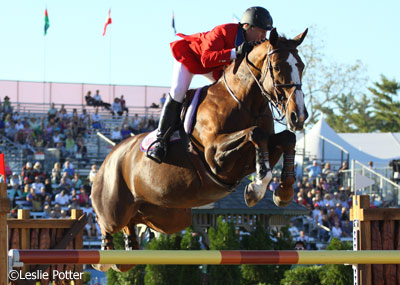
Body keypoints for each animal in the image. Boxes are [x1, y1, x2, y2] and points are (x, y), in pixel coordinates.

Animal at [91, 28, 310, 270]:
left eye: (301, 66)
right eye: (278, 67)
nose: (298, 116)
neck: (244, 102)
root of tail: (108, 159)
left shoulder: (261, 148)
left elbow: (287, 138)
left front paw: (283, 192)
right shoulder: (215, 156)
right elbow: (255, 134)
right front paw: (257, 188)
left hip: (169, 216)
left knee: (136, 220)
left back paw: (129, 248)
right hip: (114, 208)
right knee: (106, 223)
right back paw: (105, 256)